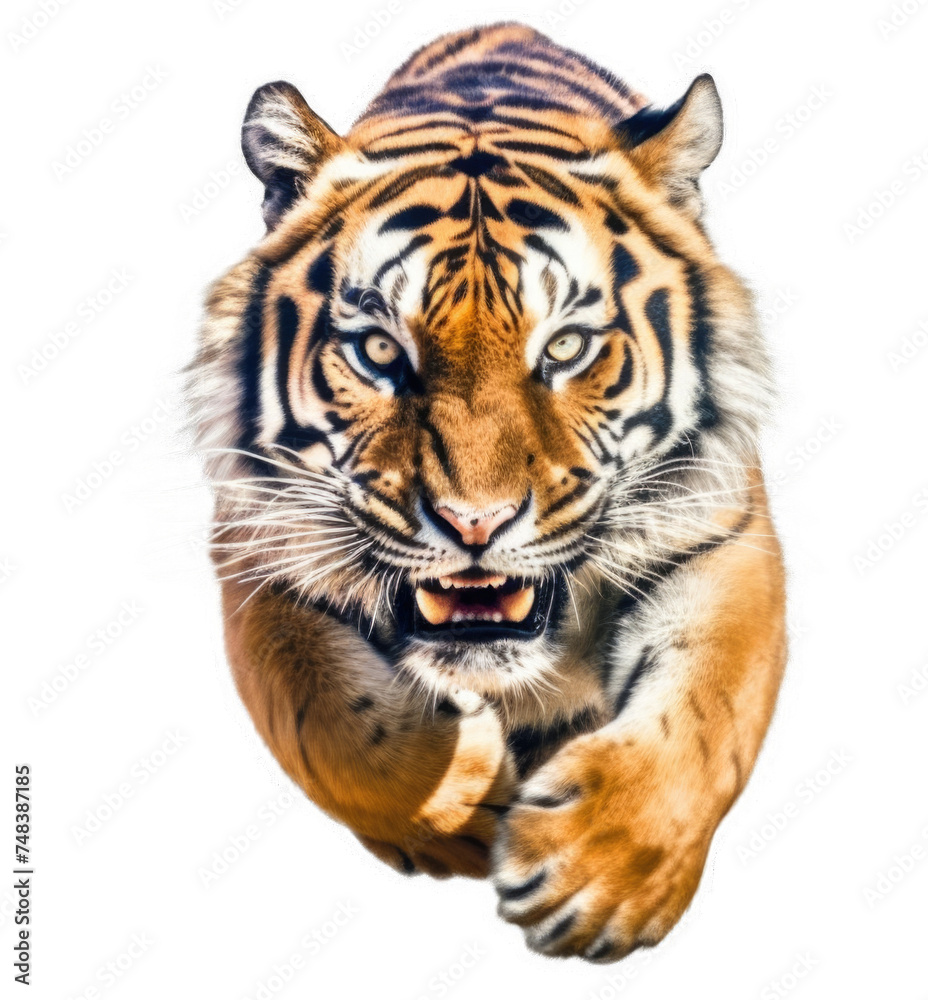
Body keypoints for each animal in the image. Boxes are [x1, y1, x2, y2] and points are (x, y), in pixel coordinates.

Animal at [187, 22, 787, 963]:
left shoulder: (721, 532)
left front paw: (593, 882)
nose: (476, 522)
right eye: (380, 351)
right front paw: (468, 800)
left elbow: (706, 710)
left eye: (569, 347)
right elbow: (325, 722)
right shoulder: (260, 550)